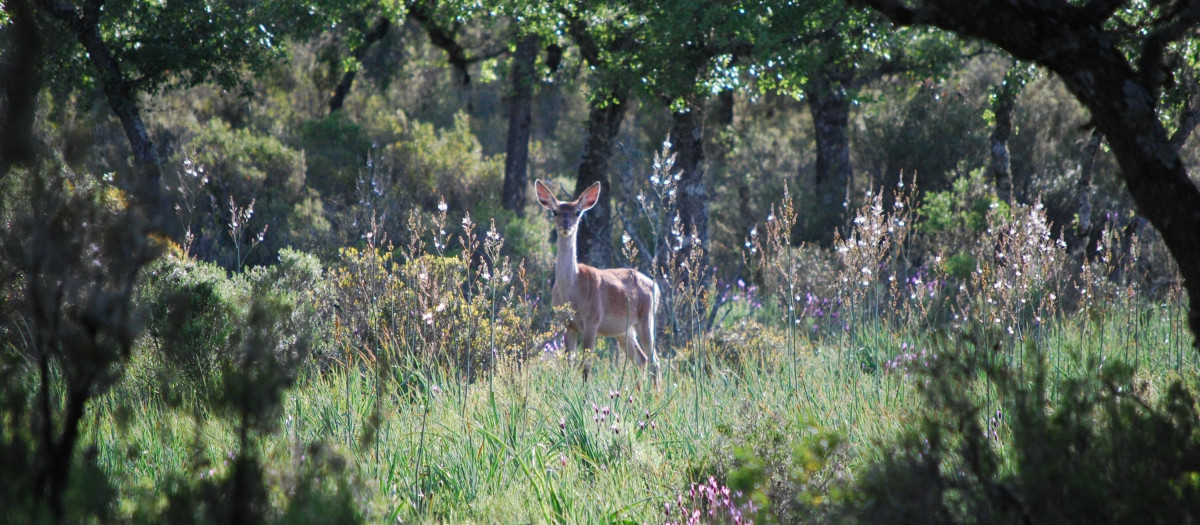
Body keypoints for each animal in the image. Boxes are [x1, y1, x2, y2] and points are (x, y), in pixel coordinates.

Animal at [537, 180, 662, 385]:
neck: (572, 291)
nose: (566, 225)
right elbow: (568, 363)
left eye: (578, 212)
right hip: (623, 330)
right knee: (641, 359)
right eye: (555, 211)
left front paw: (583, 391)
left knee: (654, 360)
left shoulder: (592, 319)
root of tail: (656, 286)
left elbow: (586, 366)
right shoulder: (567, 323)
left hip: (646, 317)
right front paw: (565, 387)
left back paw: (655, 391)